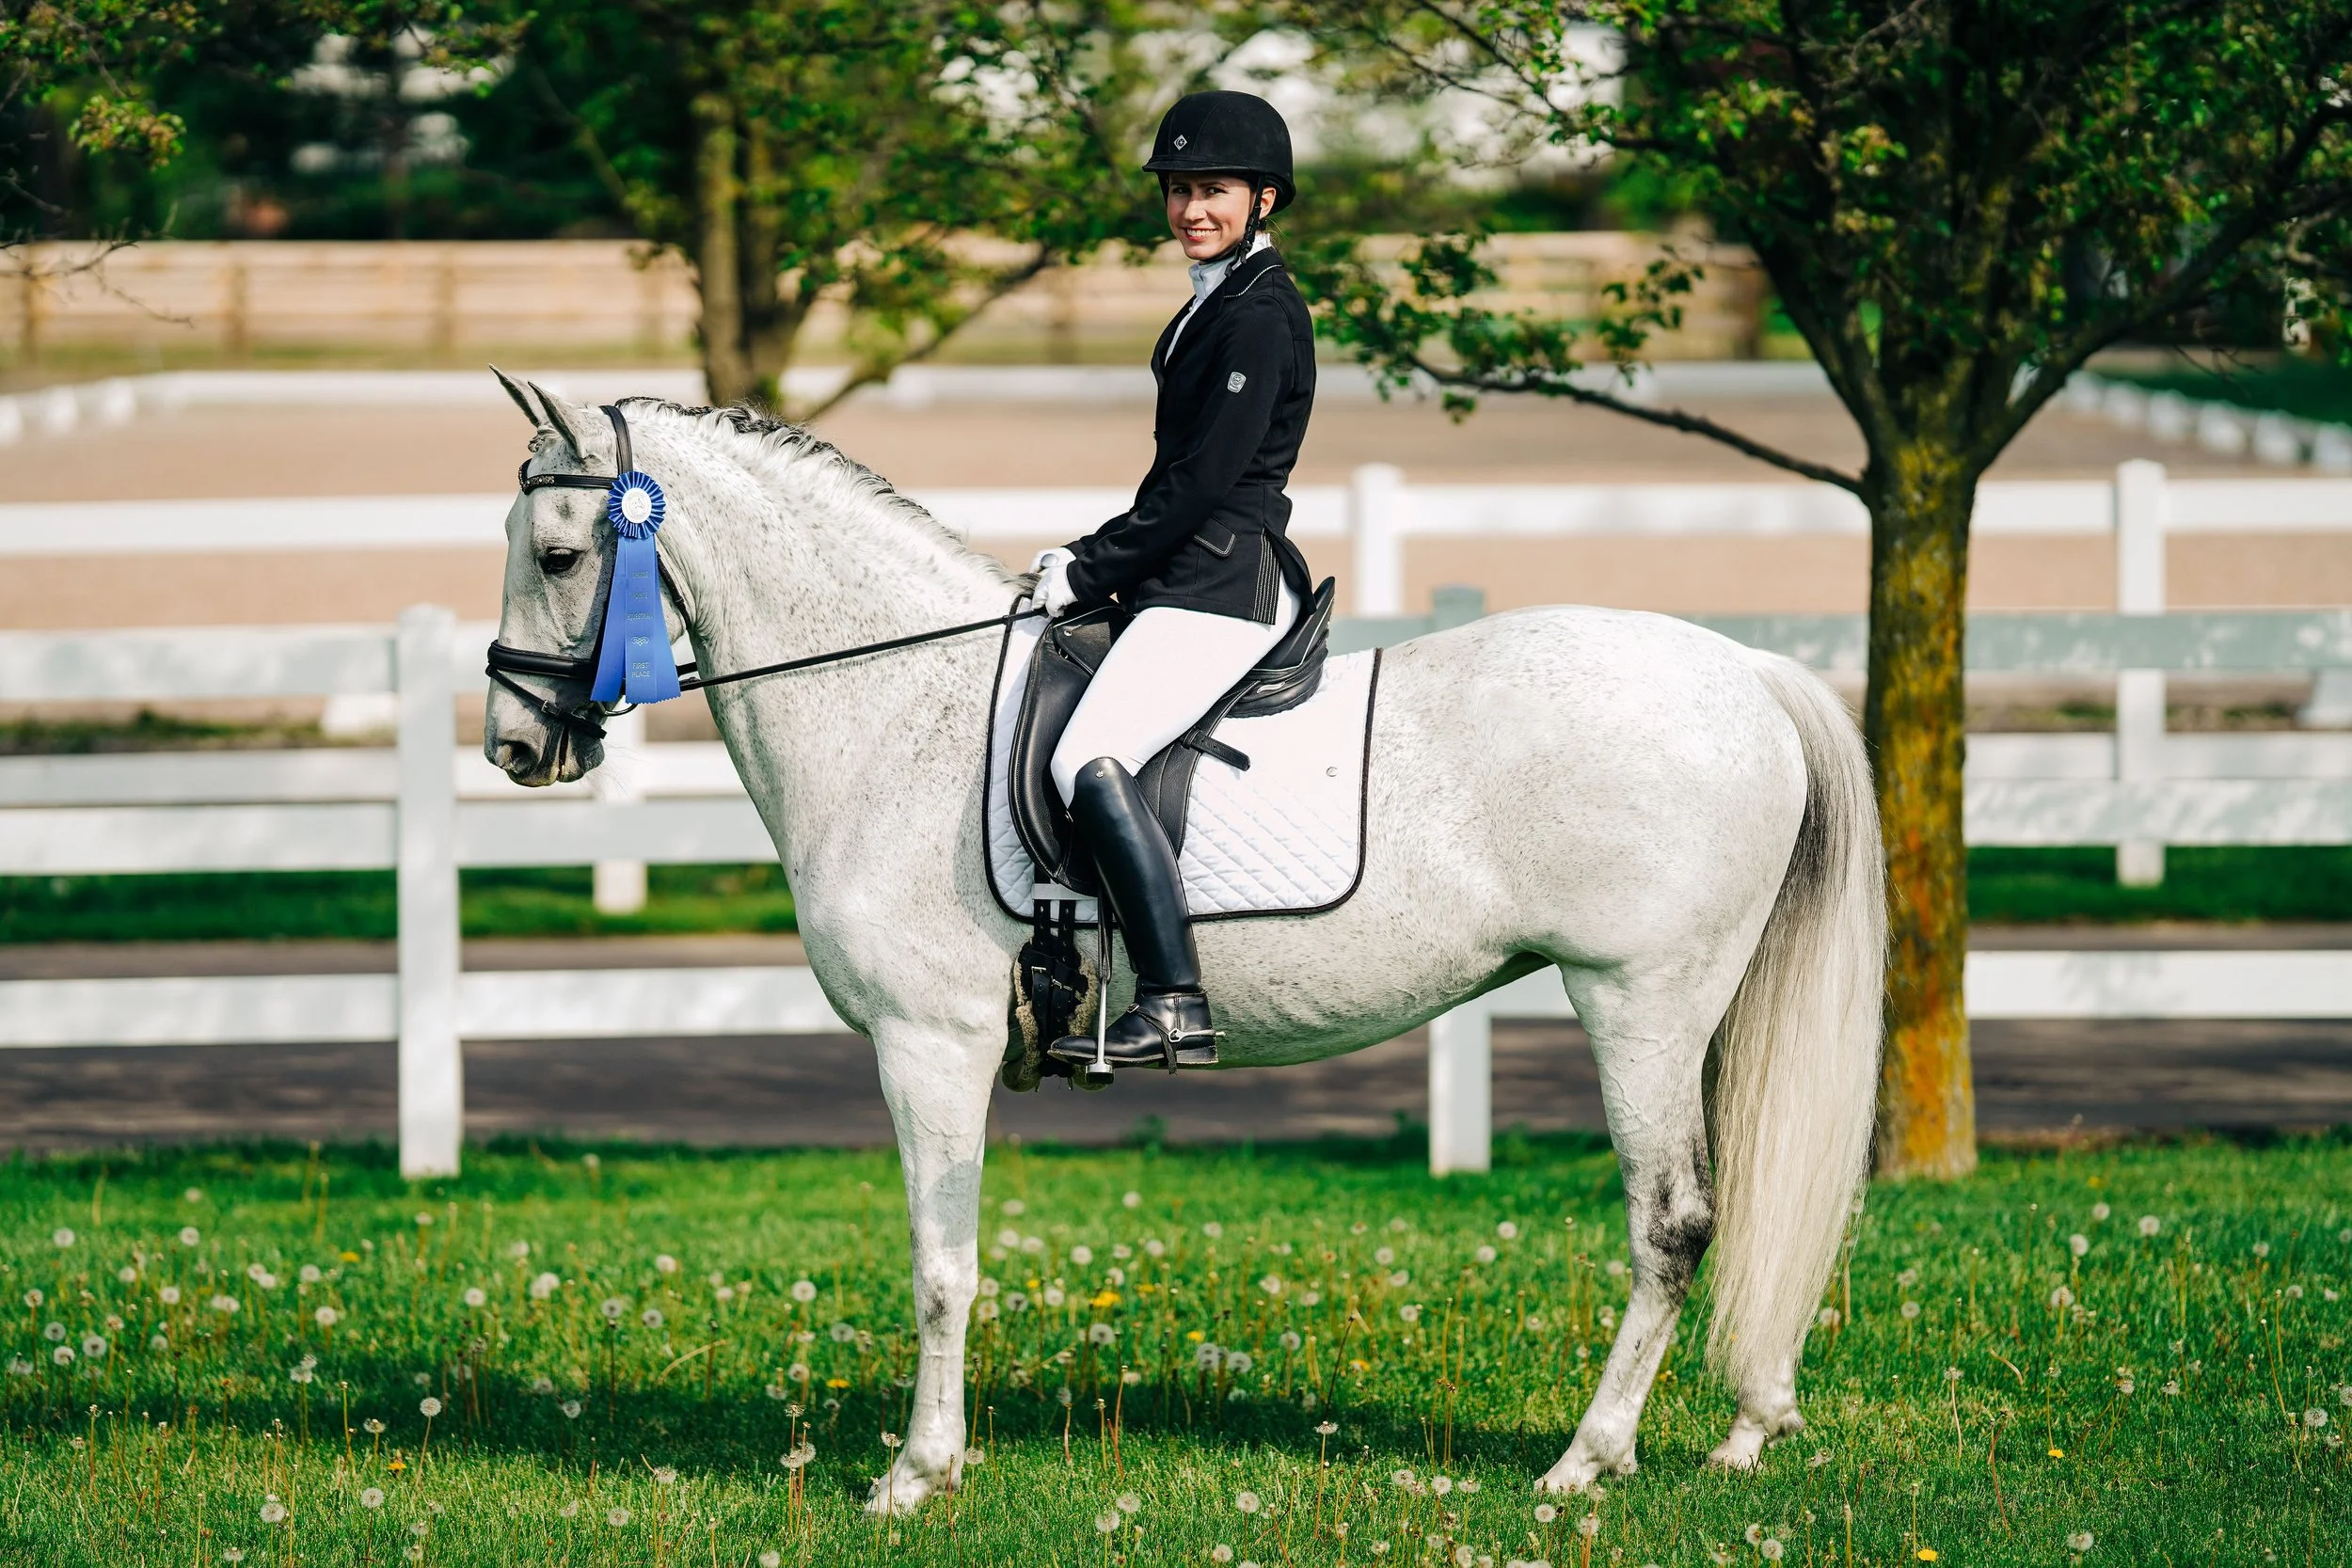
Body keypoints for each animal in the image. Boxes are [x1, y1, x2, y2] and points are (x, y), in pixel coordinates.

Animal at [481, 382, 1885, 1510]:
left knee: (1672, 1221)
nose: (513, 744)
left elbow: (942, 1267)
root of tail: (1749, 672)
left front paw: (915, 1475)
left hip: (1638, 999)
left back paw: (1587, 1459)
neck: (895, 707)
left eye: (558, 552)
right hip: (1698, 1008)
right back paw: (1748, 1426)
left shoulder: (929, 1043)